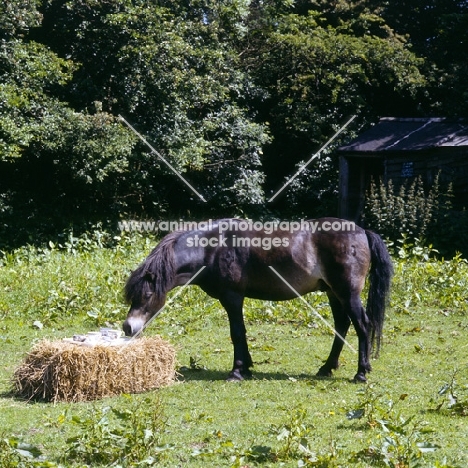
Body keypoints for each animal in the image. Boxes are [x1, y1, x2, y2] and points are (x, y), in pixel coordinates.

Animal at [122, 218, 394, 382]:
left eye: (147, 295)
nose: (128, 327)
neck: (212, 248)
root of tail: (362, 232)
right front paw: (247, 367)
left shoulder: (232, 297)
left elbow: (237, 332)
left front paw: (237, 371)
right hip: (332, 293)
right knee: (342, 325)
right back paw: (327, 367)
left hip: (347, 293)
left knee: (362, 325)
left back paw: (361, 373)